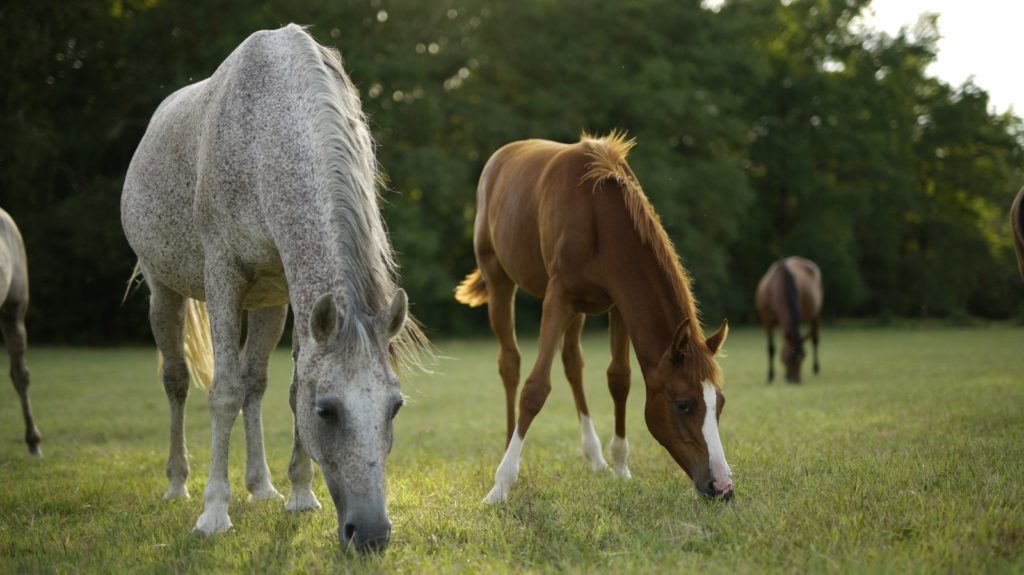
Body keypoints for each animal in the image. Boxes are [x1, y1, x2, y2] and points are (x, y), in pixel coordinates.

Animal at [121, 25, 425, 552]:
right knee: (178, 380)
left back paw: (261, 485)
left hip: (266, 304)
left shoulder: (290, 291)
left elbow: (283, 385)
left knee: (255, 384)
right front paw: (214, 513)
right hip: (165, 291)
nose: (370, 534)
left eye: (395, 406)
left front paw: (299, 494)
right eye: (326, 411)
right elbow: (223, 392)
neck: (266, 132)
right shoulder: (222, 275)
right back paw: (178, 484)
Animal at [455, 132, 733, 503]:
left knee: (573, 362)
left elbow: (619, 379)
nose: (722, 487)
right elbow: (535, 389)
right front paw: (501, 485)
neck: (598, 214)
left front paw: (620, 467)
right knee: (510, 364)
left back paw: (595, 457)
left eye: (720, 403)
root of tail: (500, 157)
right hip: (500, 280)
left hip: (579, 309)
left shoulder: (619, 304)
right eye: (684, 405)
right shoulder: (558, 297)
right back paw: (507, 449)